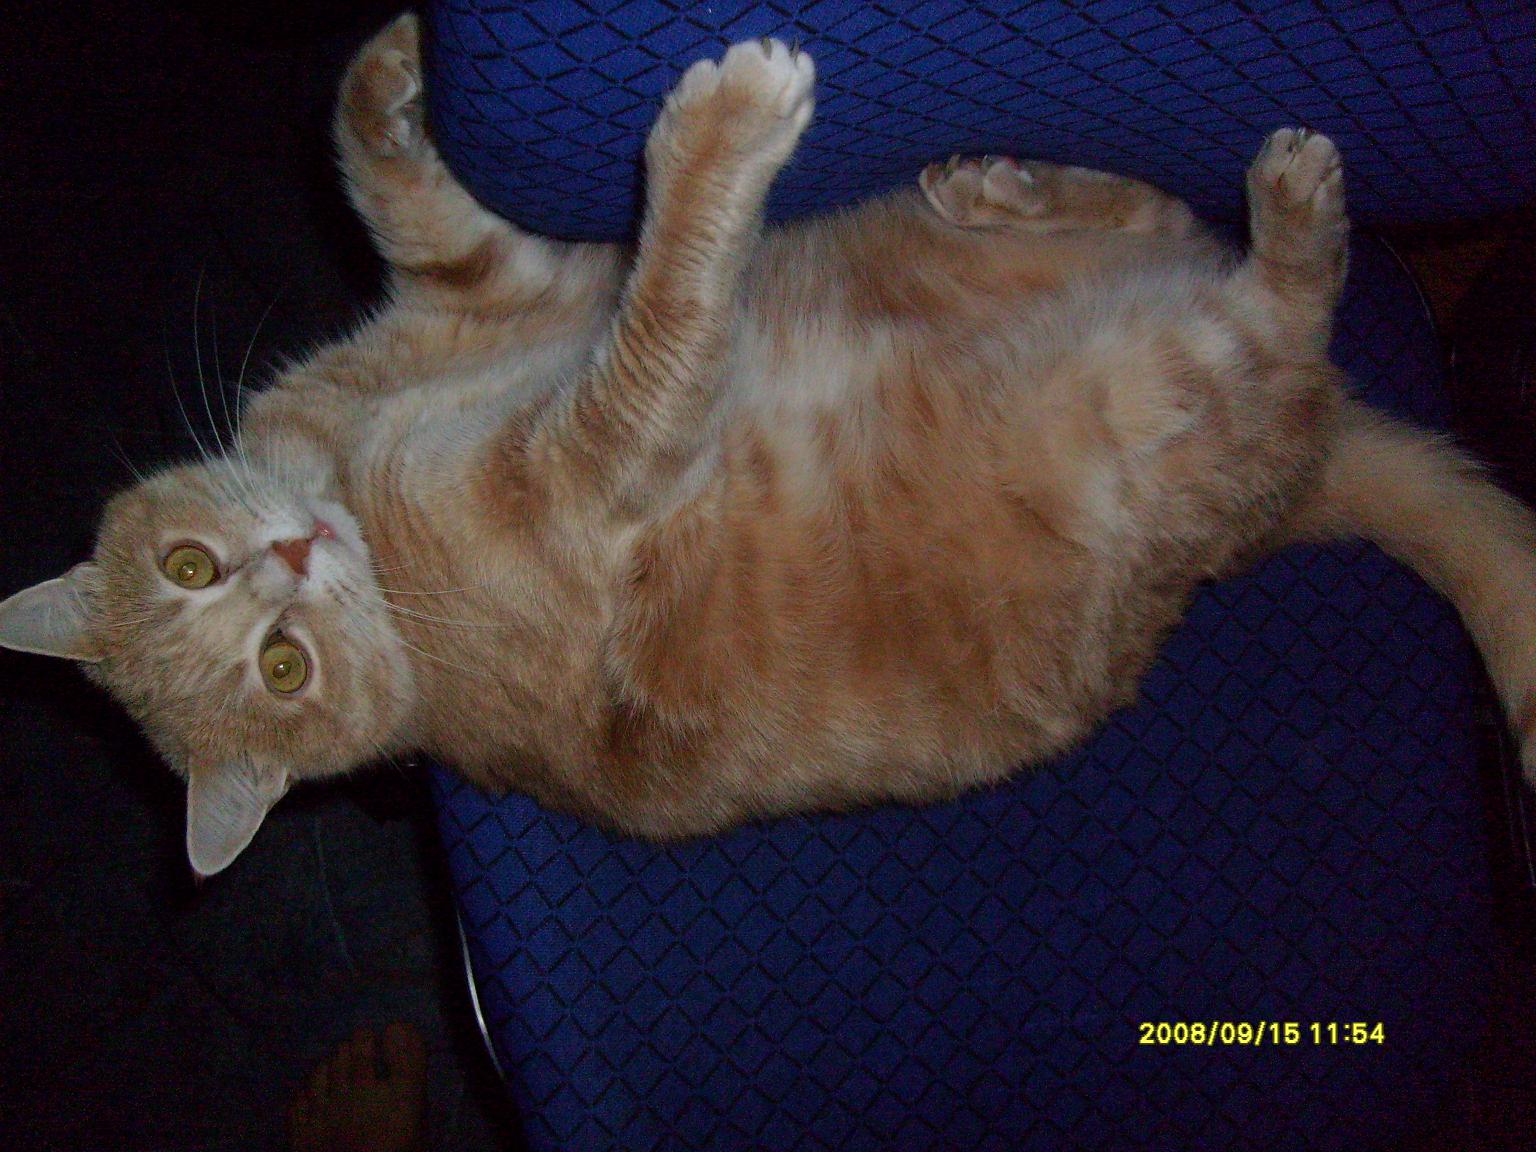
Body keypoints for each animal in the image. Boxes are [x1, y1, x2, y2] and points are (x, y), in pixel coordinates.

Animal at [4, 14, 1535, 878]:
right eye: (282, 668)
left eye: (191, 567)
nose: (289, 556)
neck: (361, 476)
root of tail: (1301, 487)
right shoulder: (595, 464)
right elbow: (670, 310)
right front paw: (725, 129)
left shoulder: (512, 283)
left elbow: (397, 185)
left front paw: (390, 71)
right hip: (1185, 383)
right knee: (1288, 304)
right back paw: (1290, 204)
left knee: (1148, 213)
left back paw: (1002, 180)